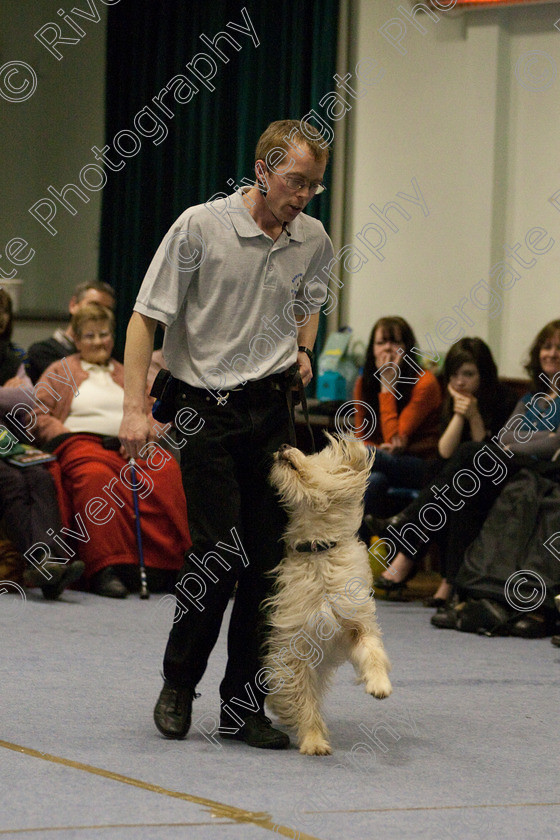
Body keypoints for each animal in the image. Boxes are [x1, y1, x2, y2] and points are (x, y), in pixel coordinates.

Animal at [264, 436, 392, 756]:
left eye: (314, 456)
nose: (283, 445)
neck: (319, 551)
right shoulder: (296, 646)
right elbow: (304, 699)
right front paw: (313, 740)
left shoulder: (356, 624)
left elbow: (373, 651)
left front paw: (379, 684)